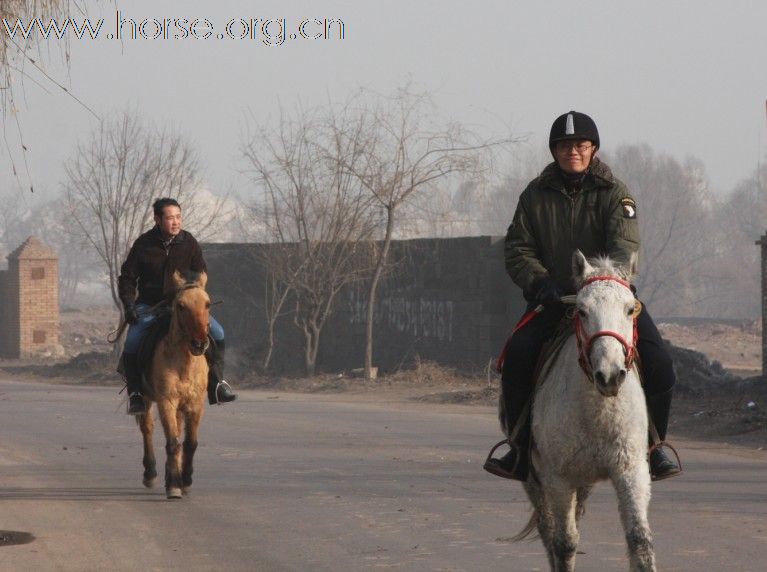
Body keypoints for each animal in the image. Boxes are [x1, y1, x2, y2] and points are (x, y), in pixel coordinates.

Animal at [137, 270, 210, 498]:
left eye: (208, 304)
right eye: (181, 306)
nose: (199, 343)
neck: (184, 362)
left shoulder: (196, 404)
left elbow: (189, 443)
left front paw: (185, 480)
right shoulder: (166, 402)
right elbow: (172, 442)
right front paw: (175, 485)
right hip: (144, 399)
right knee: (147, 428)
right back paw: (151, 474)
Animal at [510, 251, 656, 572]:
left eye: (630, 309)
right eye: (582, 310)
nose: (610, 375)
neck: (597, 410)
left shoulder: (631, 470)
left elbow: (640, 542)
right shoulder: (557, 478)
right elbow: (564, 543)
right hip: (536, 480)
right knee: (550, 531)